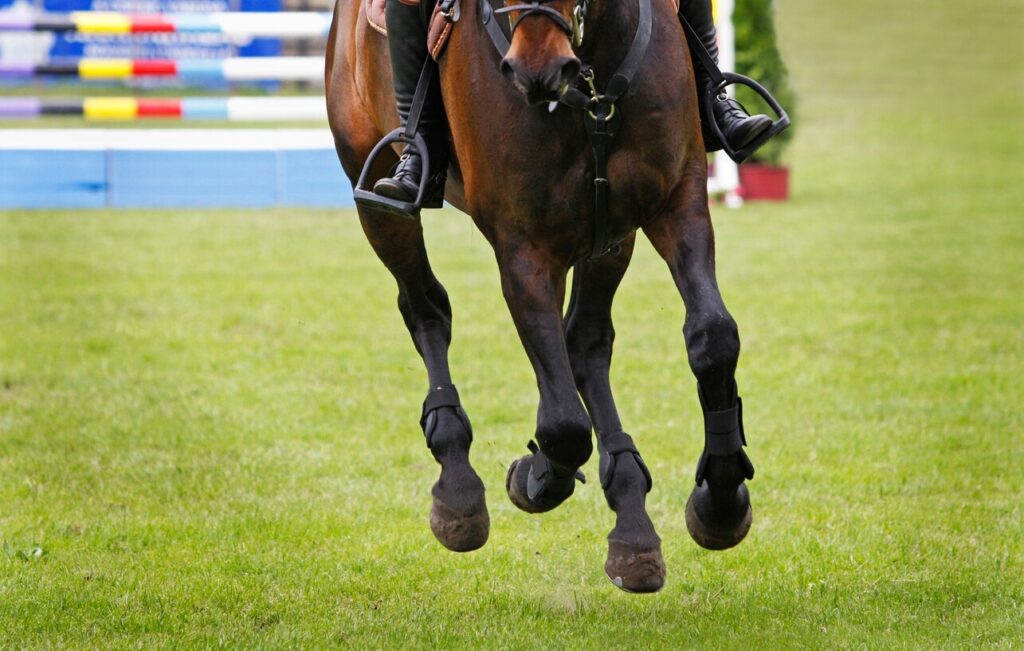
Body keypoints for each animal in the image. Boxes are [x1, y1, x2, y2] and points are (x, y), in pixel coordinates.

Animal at [325, 0, 756, 593]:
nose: (536, 70)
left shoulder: (675, 200)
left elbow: (712, 338)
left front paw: (720, 502)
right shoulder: (522, 246)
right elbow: (563, 425)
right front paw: (537, 476)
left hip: (608, 234)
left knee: (585, 343)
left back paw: (631, 519)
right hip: (378, 197)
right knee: (427, 310)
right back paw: (459, 486)